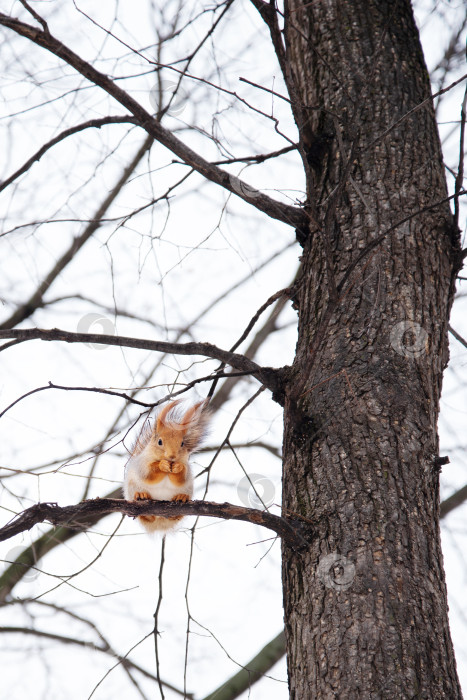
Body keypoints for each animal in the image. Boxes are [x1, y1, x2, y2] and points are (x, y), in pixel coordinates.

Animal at [125, 396, 211, 532]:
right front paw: (162, 465)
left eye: (182, 443)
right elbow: (148, 474)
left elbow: (181, 478)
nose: (172, 456)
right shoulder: (142, 464)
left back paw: (181, 497)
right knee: (146, 517)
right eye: (160, 442)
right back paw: (142, 496)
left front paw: (177, 467)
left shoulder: (187, 469)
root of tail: (160, 522)